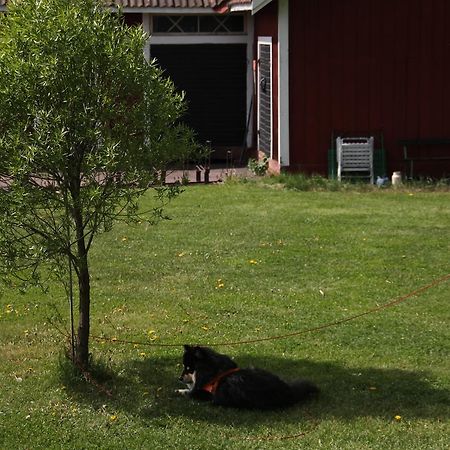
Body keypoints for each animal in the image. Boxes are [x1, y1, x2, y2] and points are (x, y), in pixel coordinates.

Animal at [177, 344, 320, 412]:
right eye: (184, 366)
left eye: (189, 368)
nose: (180, 378)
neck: (214, 372)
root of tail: (289, 393)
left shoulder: (203, 393)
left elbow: (189, 392)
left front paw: (179, 391)